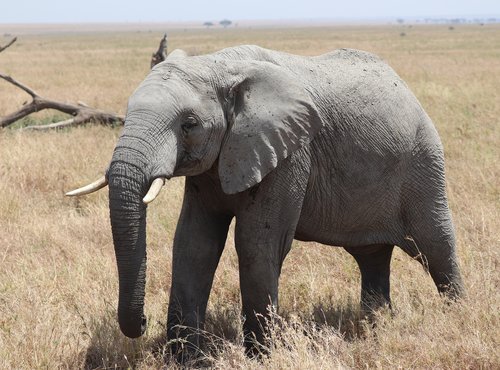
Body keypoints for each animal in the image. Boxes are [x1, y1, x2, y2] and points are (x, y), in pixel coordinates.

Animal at [67, 44, 464, 356]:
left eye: (189, 124)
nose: (143, 322)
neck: (217, 65)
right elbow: (195, 244)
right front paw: (185, 359)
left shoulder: (290, 152)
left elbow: (257, 243)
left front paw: (259, 356)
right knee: (372, 256)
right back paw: (374, 325)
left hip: (423, 162)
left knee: (435, 245)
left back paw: (455, 314)